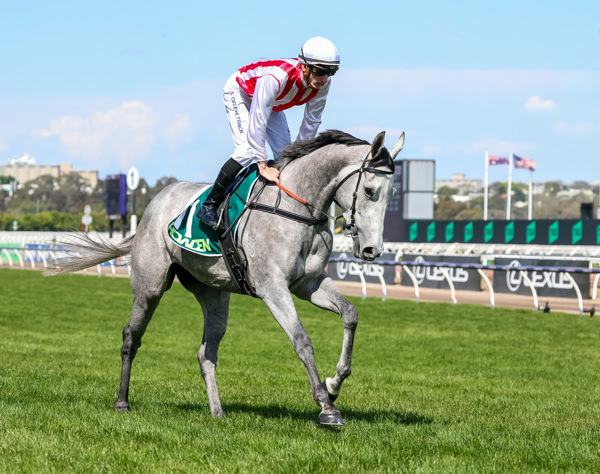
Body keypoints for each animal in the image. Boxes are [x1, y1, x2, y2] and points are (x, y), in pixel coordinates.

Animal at [47, 129, 404, 426]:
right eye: (370, 190)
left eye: (392, 194)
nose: (372, 250)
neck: (296, 208)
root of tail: (153, 204)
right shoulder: (272, 287)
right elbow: (302, 340)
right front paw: (326, 405)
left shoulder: (309, 284)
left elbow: (350, 314)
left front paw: (334, 383)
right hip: (150, 287)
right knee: (131, 337)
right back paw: (122, 401)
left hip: (213, 293)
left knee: (206, 352)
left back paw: (217, 412)